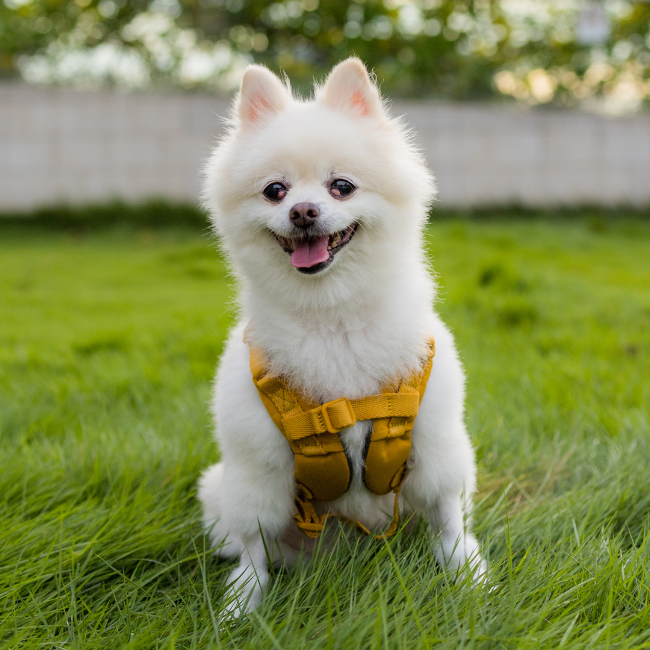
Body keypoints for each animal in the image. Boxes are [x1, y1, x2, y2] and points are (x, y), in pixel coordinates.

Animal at [197, 58, 480, 616]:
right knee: (247, 543)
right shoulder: (258, 464)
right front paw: (243, 601)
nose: (302, 211)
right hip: (227, 487)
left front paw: (468, 576)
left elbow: (449, 521)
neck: (333, 319)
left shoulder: (437, 442)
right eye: (275, 191)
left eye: (341, 186)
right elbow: (255, 544)